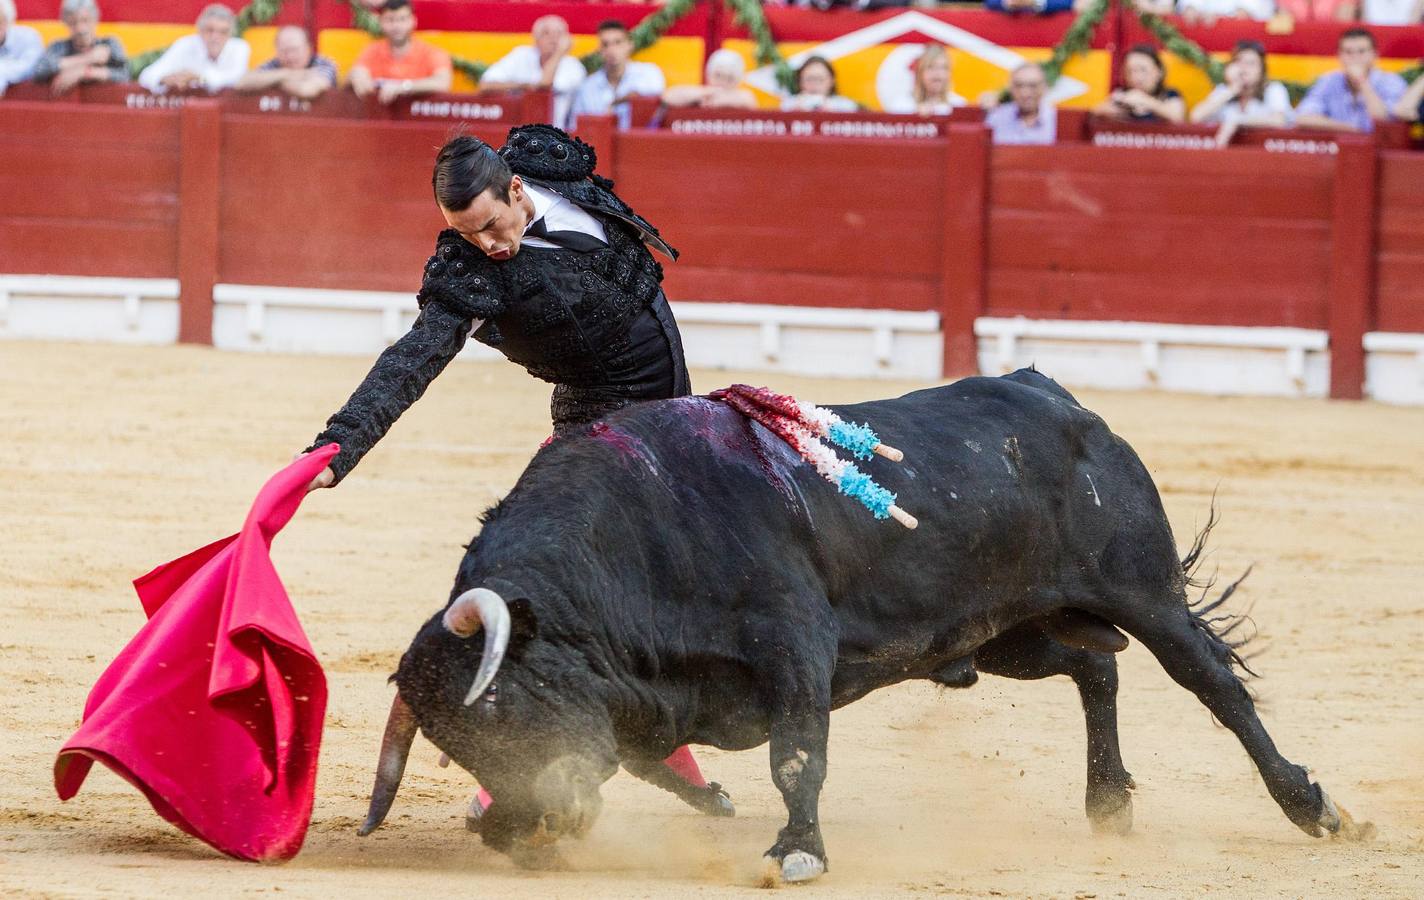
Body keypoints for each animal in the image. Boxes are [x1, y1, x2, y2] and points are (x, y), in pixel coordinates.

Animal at [361, 370, 1361, 882]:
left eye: (497, 709)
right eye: (453, 747)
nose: (524, 829)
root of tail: (1066, 403)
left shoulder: (793, 643)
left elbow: (797, 753)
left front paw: (796, 851)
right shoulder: (648, 700)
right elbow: (664, 762)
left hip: (1143, 591)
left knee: (1214, 686)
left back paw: (1311, 805)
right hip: (1000, 633)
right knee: (1095, 671)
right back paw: (1107, 800)